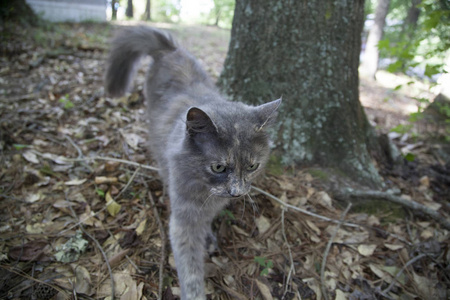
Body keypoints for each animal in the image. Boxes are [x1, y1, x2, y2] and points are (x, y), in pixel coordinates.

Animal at [106, 27, 282, 298]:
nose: (237, 192)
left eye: (253, 166)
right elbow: (189, 269)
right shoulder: (184, 220)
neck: (206, 191)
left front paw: (208, 235)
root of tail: (170, 48)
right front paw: (194, 292)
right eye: (218, 167)